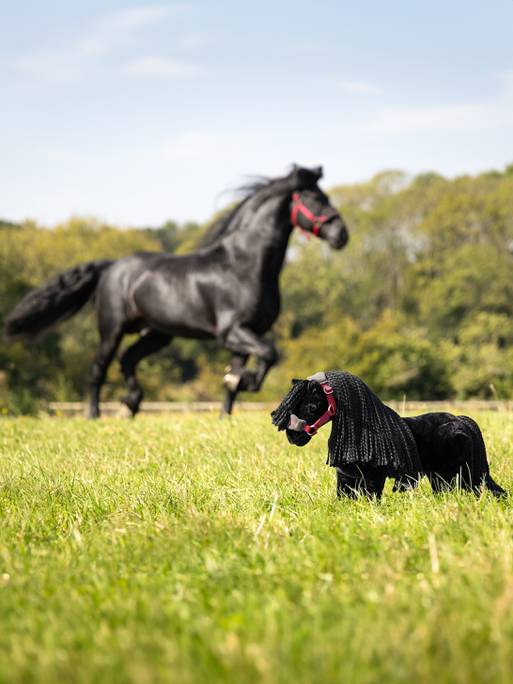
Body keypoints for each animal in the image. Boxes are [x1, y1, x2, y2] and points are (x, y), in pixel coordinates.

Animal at [5, 166, 348, 416]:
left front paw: (229, 408)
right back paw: (95, 415)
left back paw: (131, 404)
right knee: (98, 369)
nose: (341, 234)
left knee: (128, 359)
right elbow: (269, 353)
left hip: (157, 333)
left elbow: (236, 380)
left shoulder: (245, 336)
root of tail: (112, 267)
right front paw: (245, 382)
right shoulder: (232, 332)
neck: (245, 265)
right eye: (313, 198)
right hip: (112, 328)